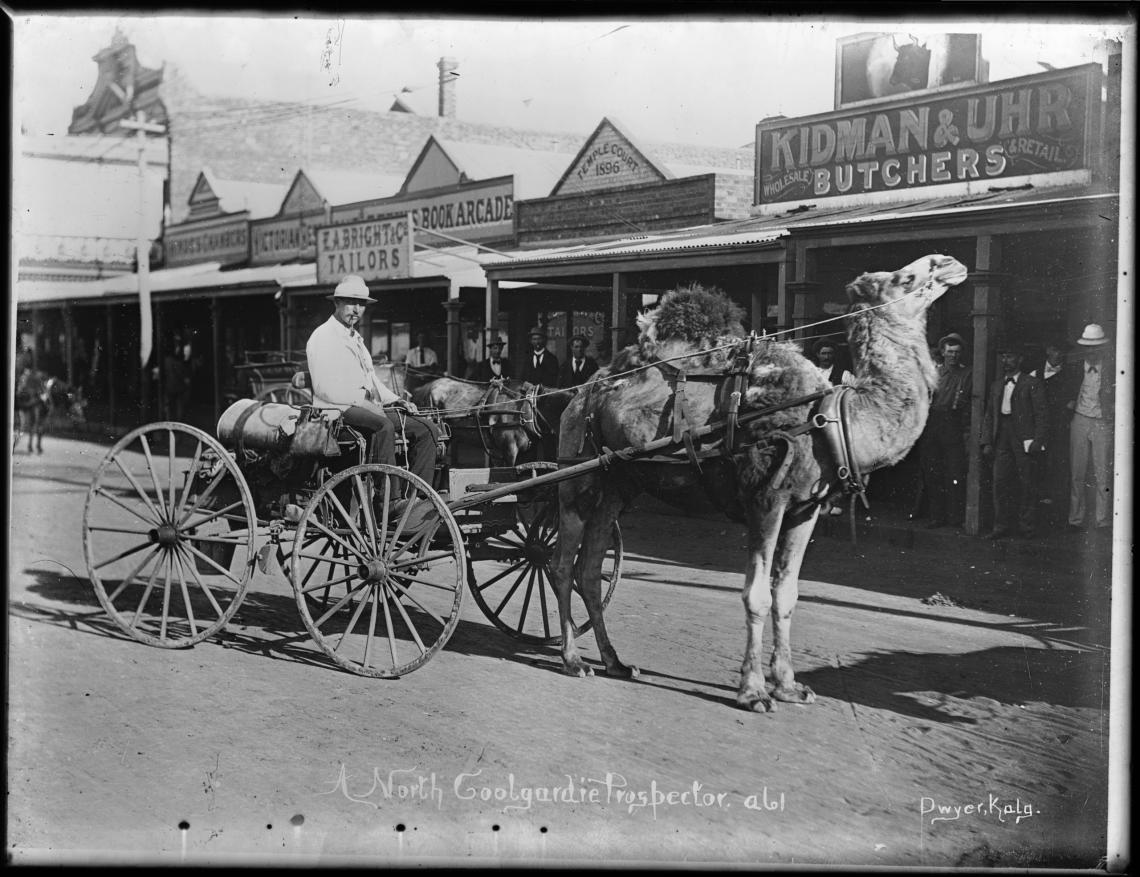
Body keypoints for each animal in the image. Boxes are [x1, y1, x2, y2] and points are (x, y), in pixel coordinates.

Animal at [547, 253, 966, 711]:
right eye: (904, 278)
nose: (950, 262)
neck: (831, 418)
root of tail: (585, 390)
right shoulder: (766, 498)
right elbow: (757, 595)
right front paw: (752, 692)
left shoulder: (805, 510)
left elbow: (787, 594)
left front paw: (788, 685)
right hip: (576, 478)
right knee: (560, 564)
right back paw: (573, 660)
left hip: (617, 486)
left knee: (590, 568)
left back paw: (615, 662)